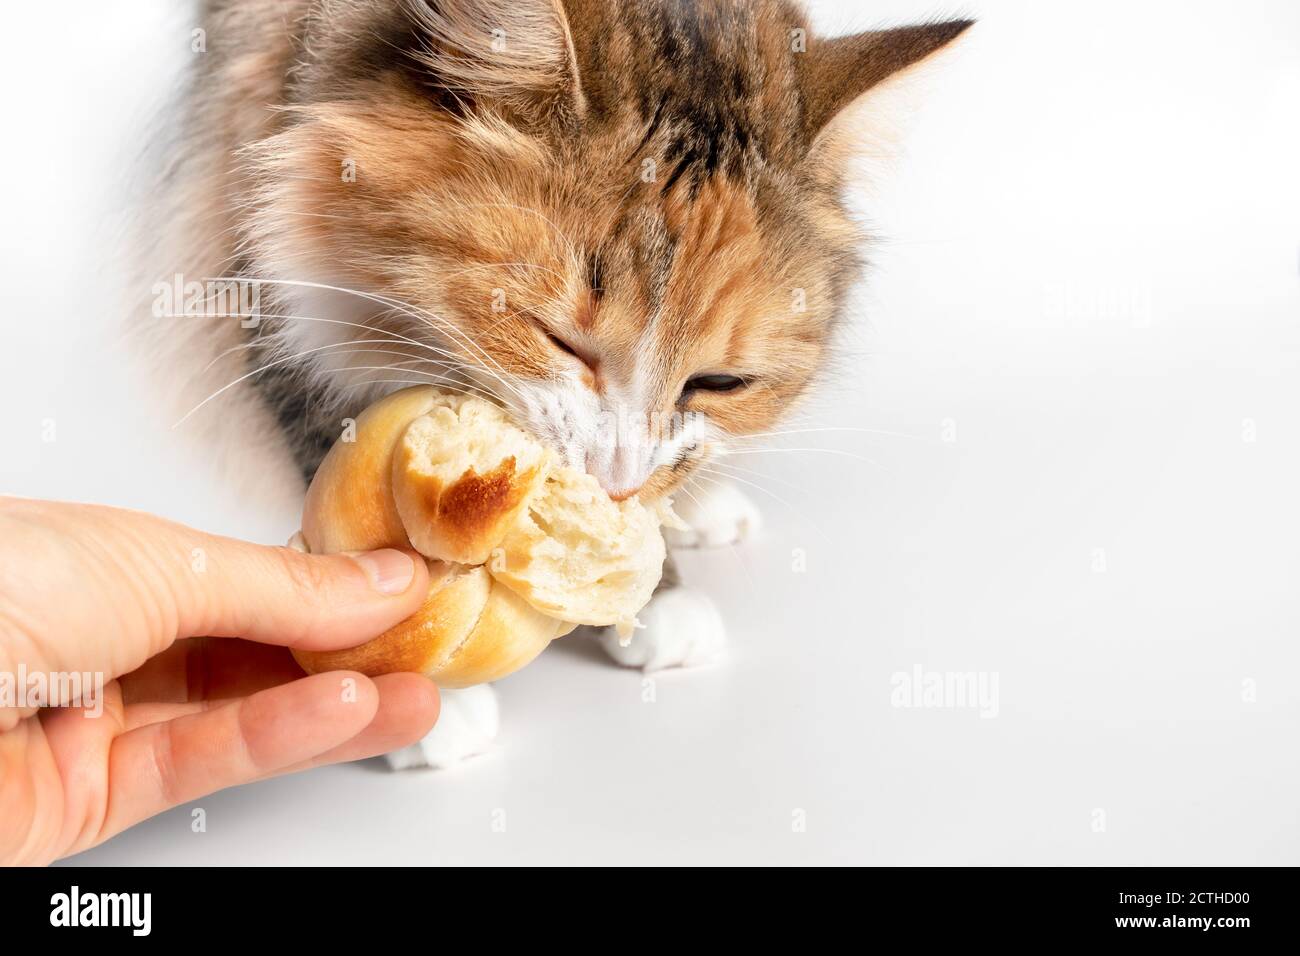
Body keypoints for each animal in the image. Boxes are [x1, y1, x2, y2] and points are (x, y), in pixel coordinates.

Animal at [147, 0, 972, 764]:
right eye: (559, 340)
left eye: (719, 381)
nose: (616, 480)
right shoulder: (267, 277)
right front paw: (420, 701)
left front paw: (657, 594)